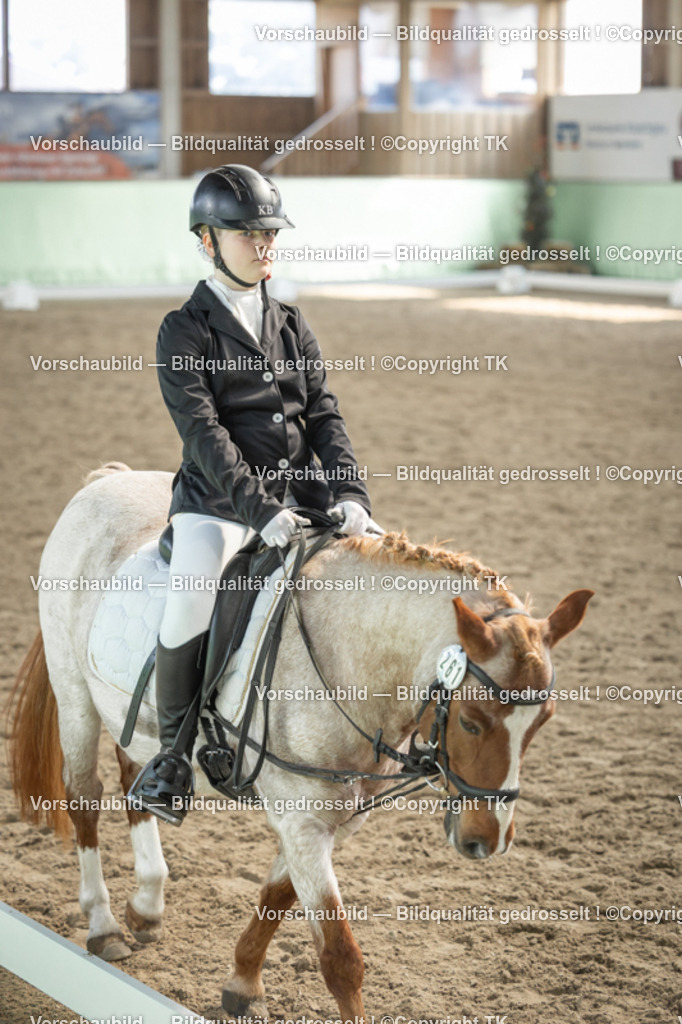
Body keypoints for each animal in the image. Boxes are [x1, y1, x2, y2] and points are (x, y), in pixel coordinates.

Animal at [9, 464, 593, 1021]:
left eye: (543, 721)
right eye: (471, 721)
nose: (486, 841)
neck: (347, 659)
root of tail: (105, 482)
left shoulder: (337, 817)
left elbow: (276, 896)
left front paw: (242, 985)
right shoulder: (303, 819)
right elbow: (340, 957)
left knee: (134, 774)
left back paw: (147, 905)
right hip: (74, 690)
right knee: (84, 795)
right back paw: (104, 926)